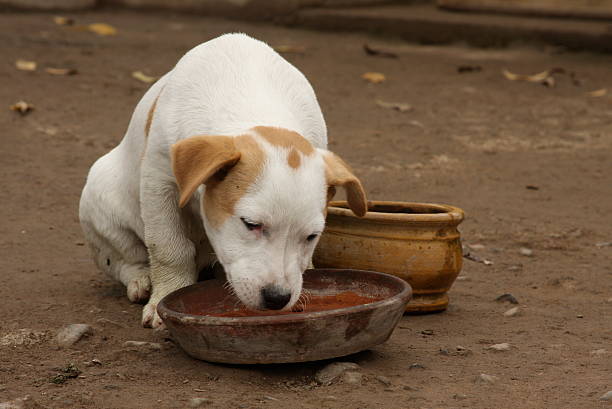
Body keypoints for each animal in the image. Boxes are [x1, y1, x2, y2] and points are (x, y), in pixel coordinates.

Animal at [81, 34, 368, 328]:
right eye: (250, 224)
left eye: (312, 236)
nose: (277, 299)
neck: (251, 99)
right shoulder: (159, 182)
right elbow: (168, 248)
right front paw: (164, 300)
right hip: (100, 204)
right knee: (122, 260)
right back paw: (141, 280)